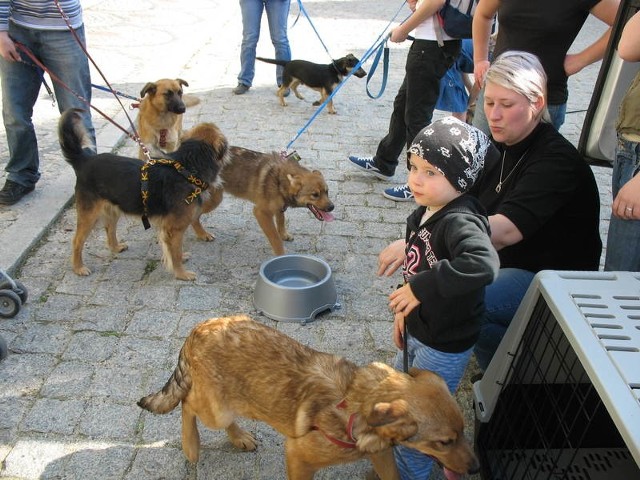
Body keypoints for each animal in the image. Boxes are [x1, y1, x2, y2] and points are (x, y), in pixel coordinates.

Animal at [57, 109, 228, 282]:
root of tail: (84, 161)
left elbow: (173, 250)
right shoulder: (174, 228)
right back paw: (78, 268)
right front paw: (181, 273)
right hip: (89, 215)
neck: (186, 167)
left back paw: (116, 247)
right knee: (77, 241)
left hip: (113, 208)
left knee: (109, 229)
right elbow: (175, 252)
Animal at [140, 316, 480, 480]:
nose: (477, 468)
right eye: (444, 442)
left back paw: (240, 437)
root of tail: (198, 328)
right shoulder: (299, 456)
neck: (355, 404)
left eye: (465, 432)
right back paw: (191, 444)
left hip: (231, 399)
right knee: (188, 404)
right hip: (216, 409)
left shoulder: (382, 455)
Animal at [192, 147, 336, 255]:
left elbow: (281, 220)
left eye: (327, 192)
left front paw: (284, 234)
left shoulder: (280, 207)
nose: (332, 207)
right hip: (214, 200)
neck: (279, 181)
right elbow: (275, 238)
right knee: (194, 217)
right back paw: (202, 234)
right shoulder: (261, 213)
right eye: (315, 195)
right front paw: (280, 256)